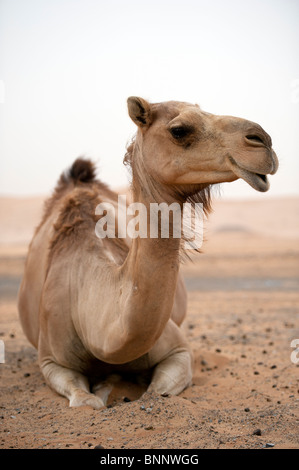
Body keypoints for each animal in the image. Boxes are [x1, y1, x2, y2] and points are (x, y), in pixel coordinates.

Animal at [17, 96, 280, 408]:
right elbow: (86, 401)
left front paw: (113, 382)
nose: (263, 141)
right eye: (179, 130)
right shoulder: (51, 361)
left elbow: (157, 392)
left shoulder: (179, 350)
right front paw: (105, 387)